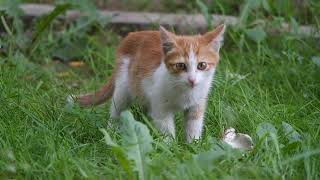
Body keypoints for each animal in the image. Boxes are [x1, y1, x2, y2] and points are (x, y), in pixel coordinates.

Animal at [70, 24, 225, 142]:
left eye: (202, 65)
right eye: (180, 66)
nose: (192, 80)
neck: (185, 92)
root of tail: (130, 35)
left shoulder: (197, 104)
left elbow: (194, 125)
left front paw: (192, 146)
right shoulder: (161, 105)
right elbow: (166, 127)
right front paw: (170, 148)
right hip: (124, 85)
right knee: (117, 108)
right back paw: (112, 131)